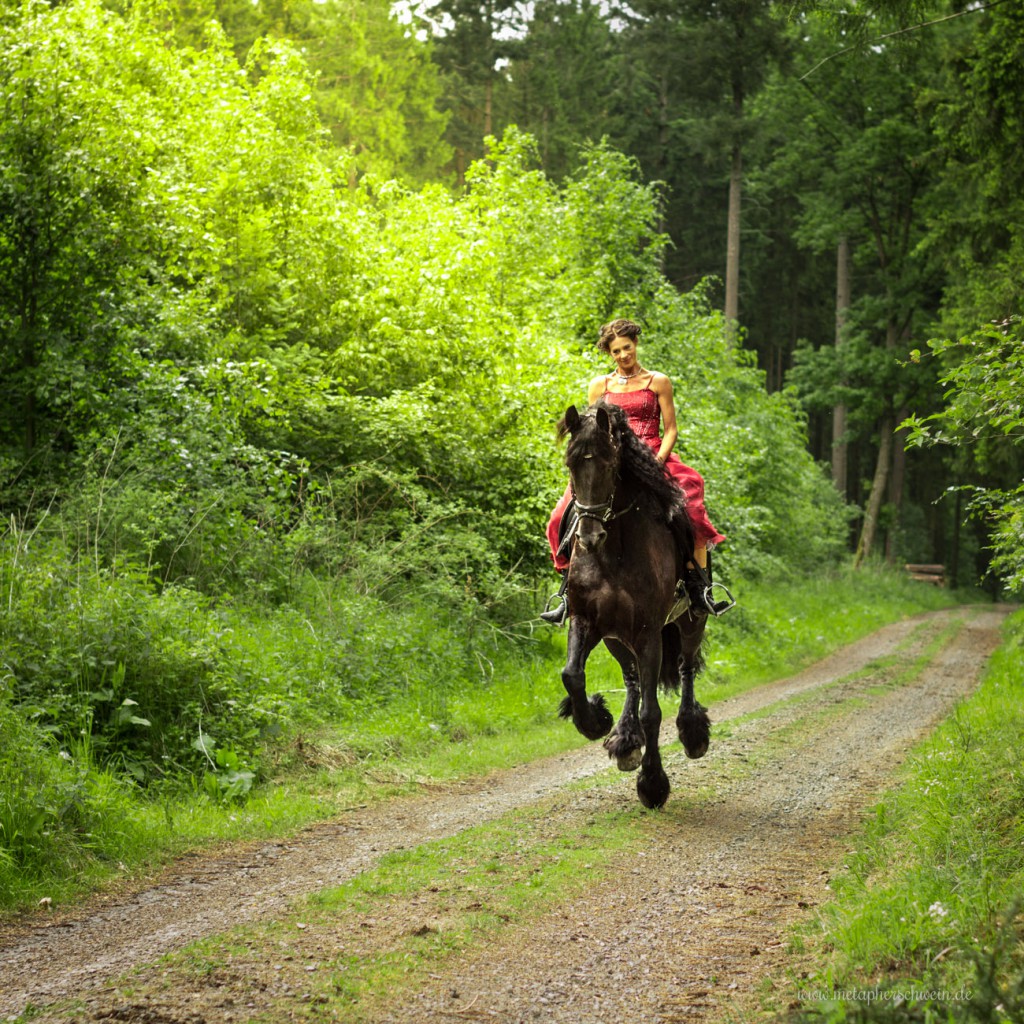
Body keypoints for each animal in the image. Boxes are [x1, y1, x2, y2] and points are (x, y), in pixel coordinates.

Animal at [557, 399, 708, 806]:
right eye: (570, 464)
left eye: (610, 464)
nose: (589, 536)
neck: (612, 552)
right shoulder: (585, 620)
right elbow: (572, 674)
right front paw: (594, 721)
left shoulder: (648, 633)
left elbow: (651, 712)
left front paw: (653, 784)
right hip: (615, 636)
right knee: (631, 677)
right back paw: (625, 741)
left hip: (690, 621)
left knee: (686, 667)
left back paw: (693, 733)